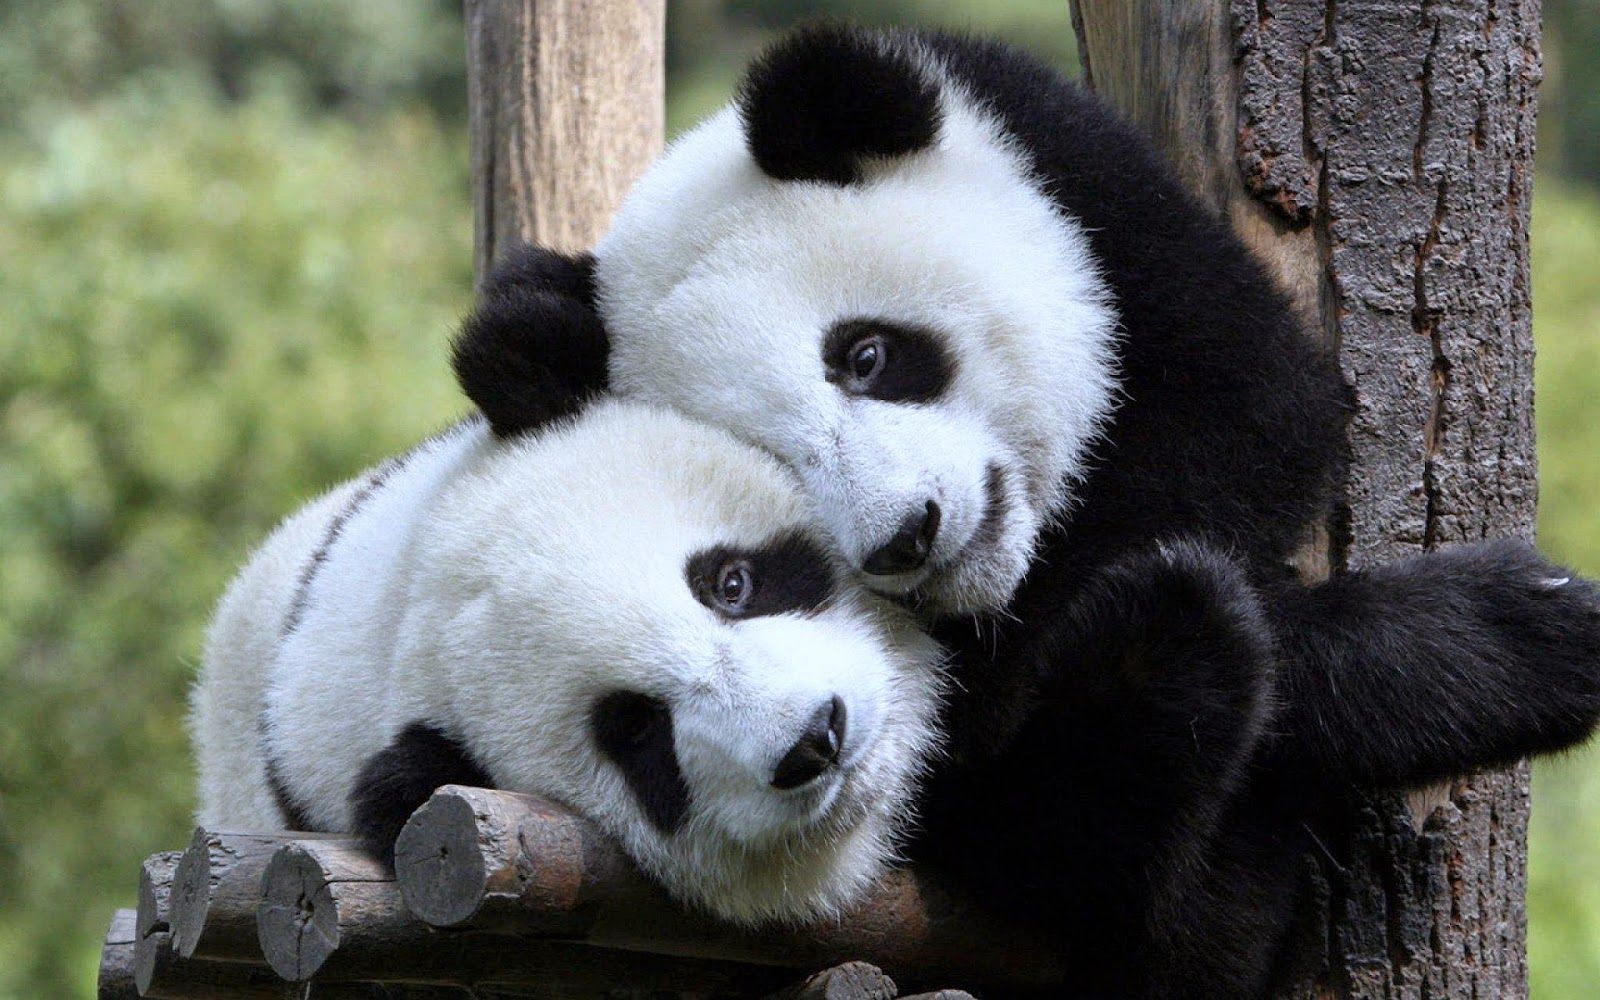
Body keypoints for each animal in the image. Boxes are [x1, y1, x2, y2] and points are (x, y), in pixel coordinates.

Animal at [451, 23, 1600, 996]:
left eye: (867, 355)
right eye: (776, 462)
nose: (907, 535)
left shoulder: (1091, 191)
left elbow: (1257, 414)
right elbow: (1007, 787)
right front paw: (1510, 636)